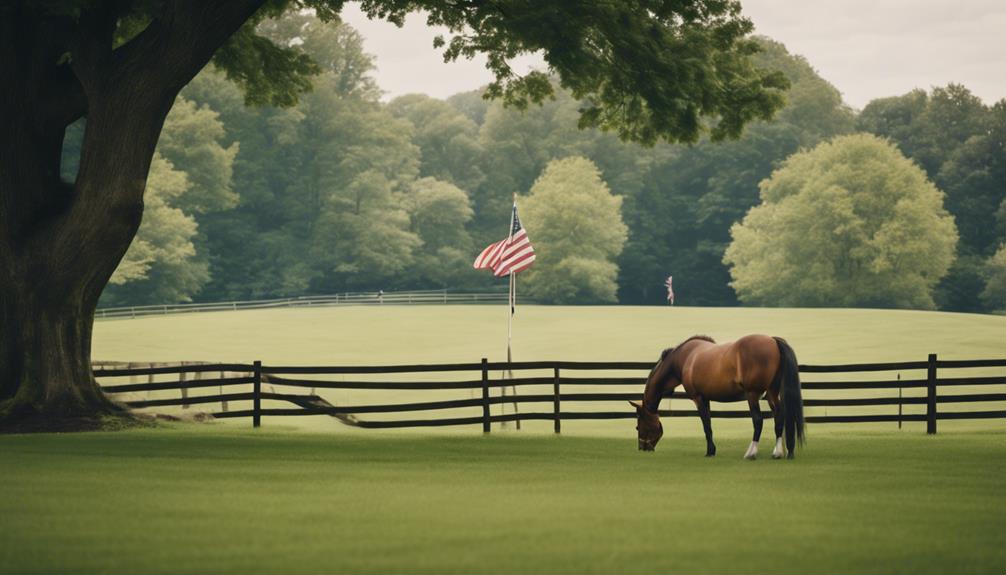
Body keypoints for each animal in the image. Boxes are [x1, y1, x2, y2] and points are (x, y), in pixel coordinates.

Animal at [631, 333, 804, 460]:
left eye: (638, 425)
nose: (642, 448)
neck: (684, 358)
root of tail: (772, 341)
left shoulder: (698, 398)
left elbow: (706, 425)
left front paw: (710, 451)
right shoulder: (706, 398)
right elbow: (709, 423)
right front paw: (712, 449)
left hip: (753, 395)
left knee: (758, 421)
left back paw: (751, 453)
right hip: (771, 393)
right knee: (779, 418)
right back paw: (778, 452)